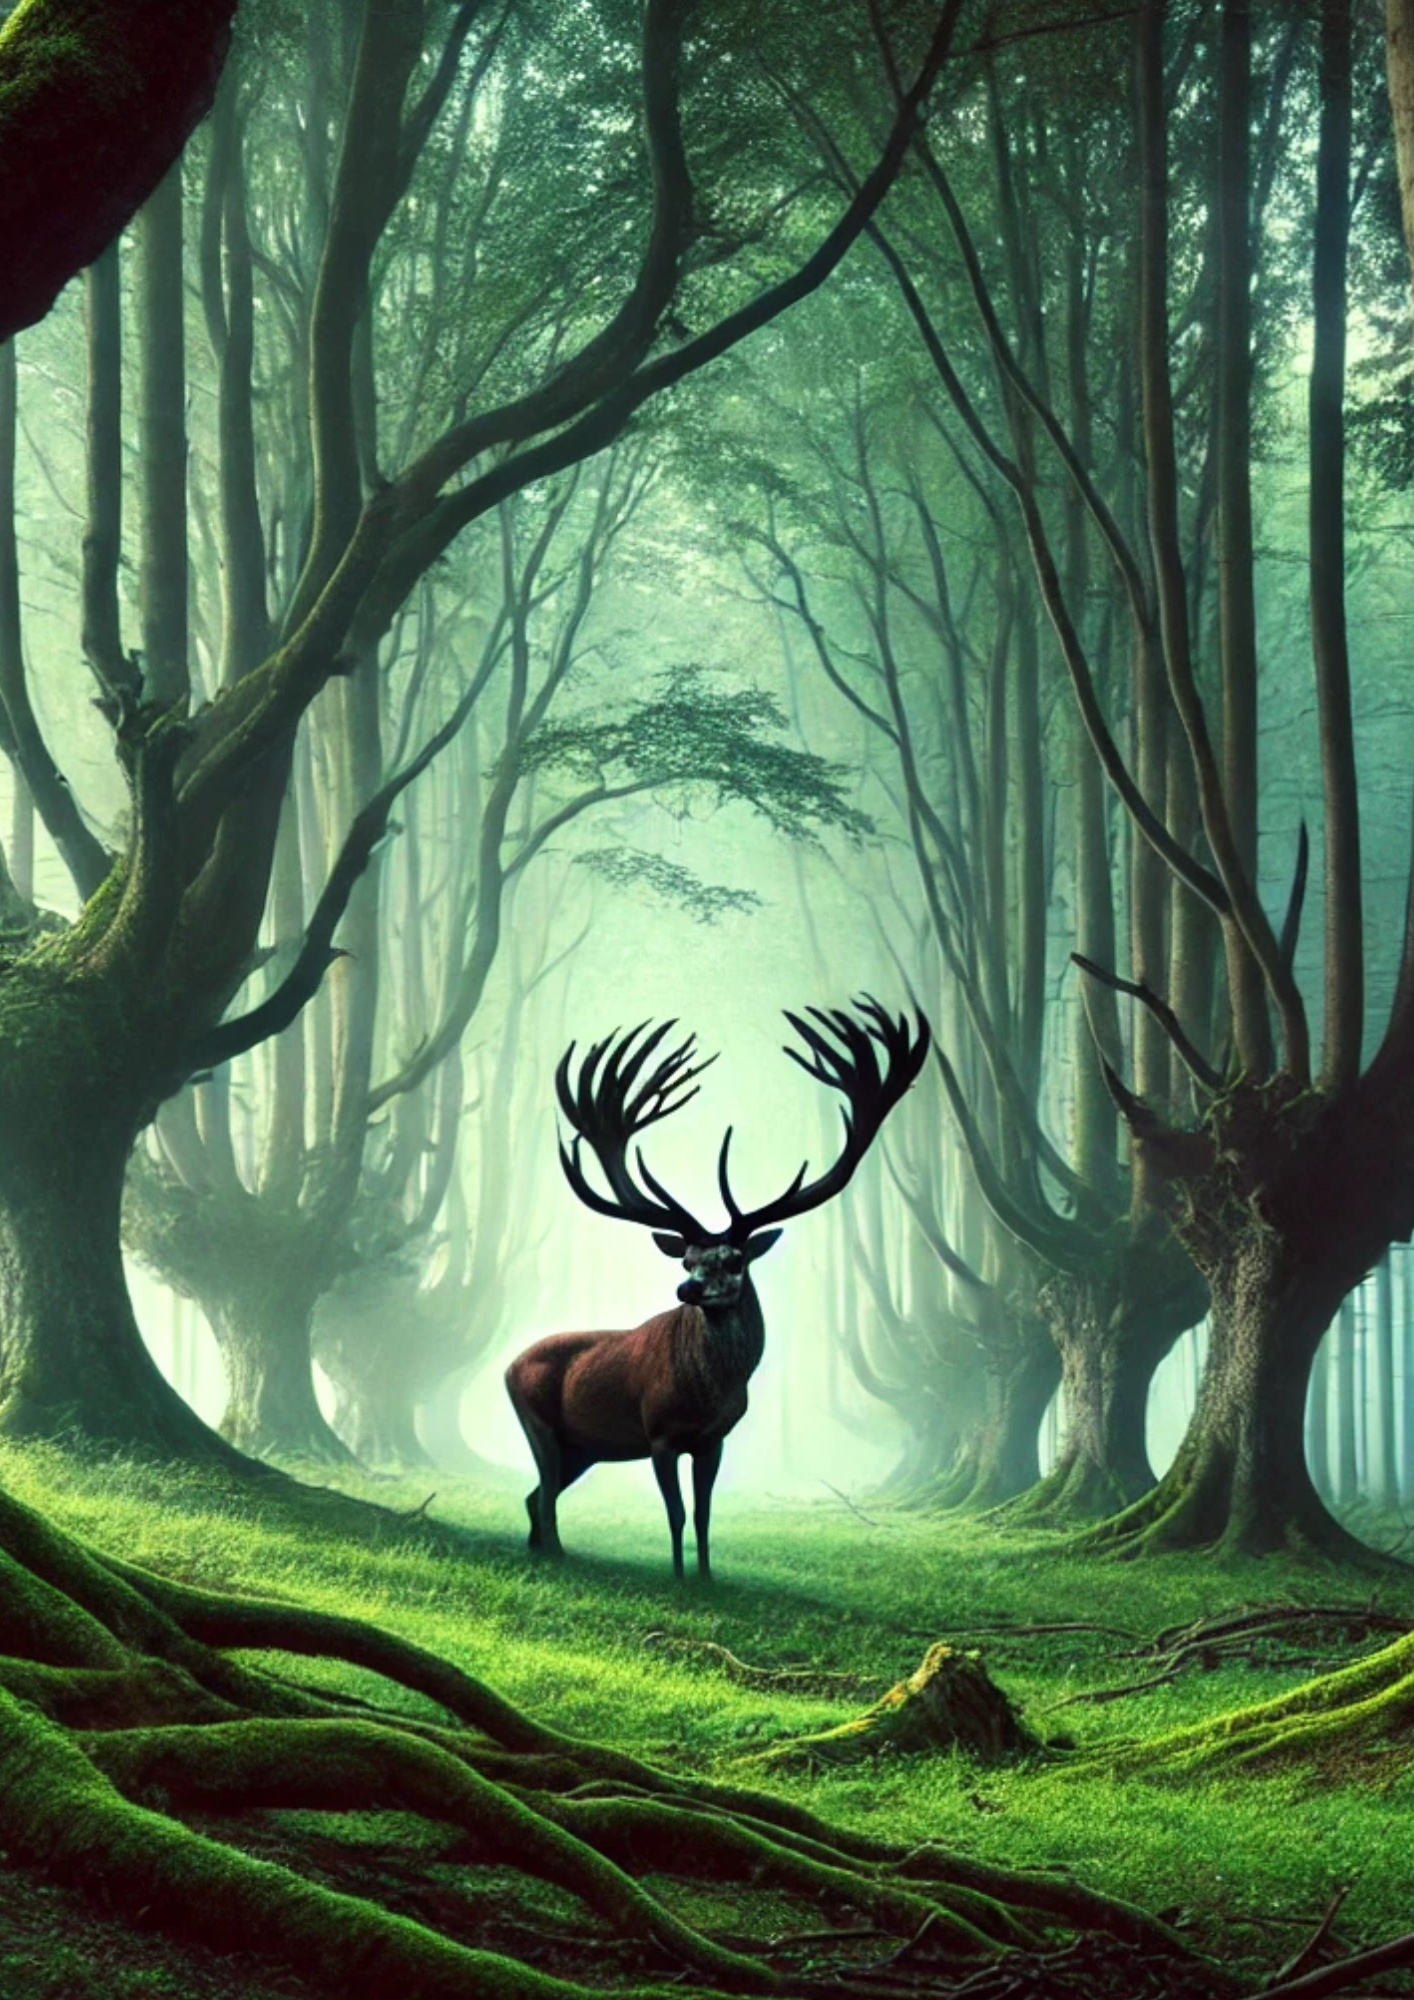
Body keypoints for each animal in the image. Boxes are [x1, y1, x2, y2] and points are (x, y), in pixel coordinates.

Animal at [504, 997, 930, 1581]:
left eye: (735, 1258)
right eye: (686, 1258)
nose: (688, 1289)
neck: (706, 1394)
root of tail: (507, 1364)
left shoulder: (715, 1439)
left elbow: (705, 1512)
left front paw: (705, 1577)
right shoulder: (659, 1433)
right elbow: (677, 1512)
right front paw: (680, 1579)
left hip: (584, 1447)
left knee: (533, 1495)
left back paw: (542, 1549)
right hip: (539, 1425)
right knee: (544, 1495)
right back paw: (556, 1553)